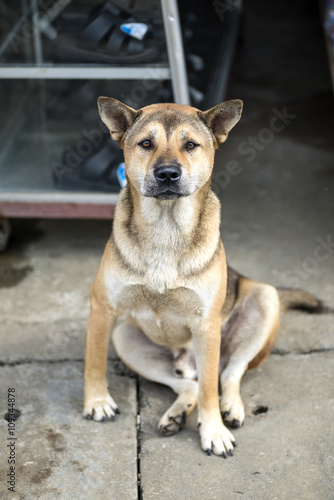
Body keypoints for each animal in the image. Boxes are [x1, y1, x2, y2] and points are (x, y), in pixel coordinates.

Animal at [83, 97, 282, 458]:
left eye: (190, 145)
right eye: (146, 143)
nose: (167, 174)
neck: (166, 227)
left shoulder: (206, 324)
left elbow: (210, 391)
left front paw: (213, 431)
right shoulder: (102, 309)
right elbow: (94, 361)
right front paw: (97, 402)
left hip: (265, 299)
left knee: (228, 374)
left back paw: (230, 408)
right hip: (126, 337)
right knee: (189, 384)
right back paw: (175, 415)